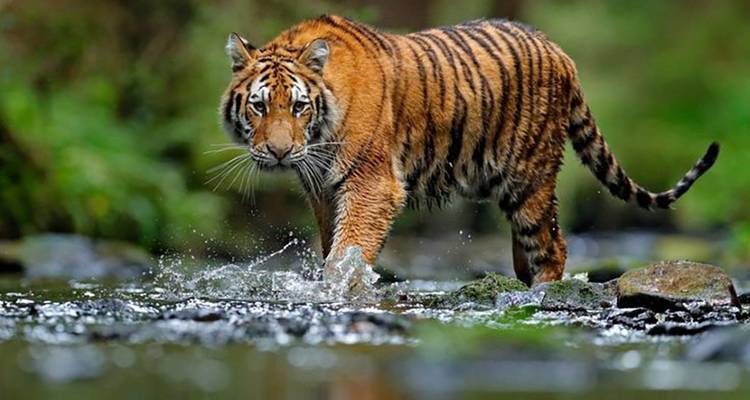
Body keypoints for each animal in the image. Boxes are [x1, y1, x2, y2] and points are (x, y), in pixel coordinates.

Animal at [219, 15, 719, 287]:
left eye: (298, 106)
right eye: (260, 106)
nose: (280, 152)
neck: (319, 136)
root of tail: (559, 51)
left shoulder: (372, 184)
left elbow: (349, 250)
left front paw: (340, 288)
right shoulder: (323, 190)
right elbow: (332, 246)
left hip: (529, 177)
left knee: (552, 245)